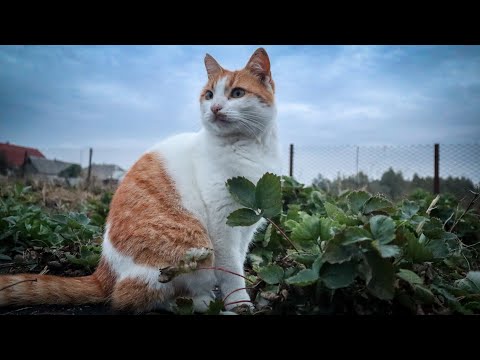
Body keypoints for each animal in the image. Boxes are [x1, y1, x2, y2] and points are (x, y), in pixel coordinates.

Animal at [0, 47, 282, 312]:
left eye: (237, 93)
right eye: (209, 95)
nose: (214, 108)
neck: (246, 148)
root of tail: (104, 271)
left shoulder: (245, 226)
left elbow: (239, 259)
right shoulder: (221, 224)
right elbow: (232, 270)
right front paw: (239, 303)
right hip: (189, 250)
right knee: (130, 296)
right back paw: (197, 303)